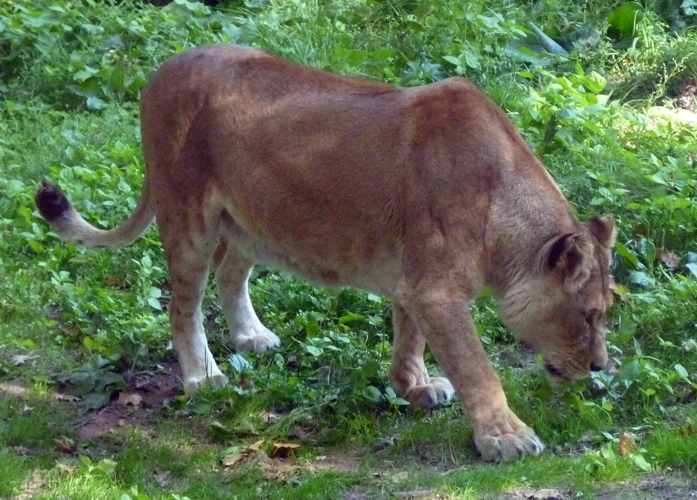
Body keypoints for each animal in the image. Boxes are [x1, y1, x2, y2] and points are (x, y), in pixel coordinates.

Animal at [36, 44, 615, 462]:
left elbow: (409, 335)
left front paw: (415, 387)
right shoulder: (435, 288)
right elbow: (478, 368)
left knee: (230, 271)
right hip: (187, 216)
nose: (600, 368)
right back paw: (203, 376)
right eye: (589, 315)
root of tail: (161, 70)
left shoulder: (415, 281)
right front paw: (506, 437)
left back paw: (252, 337)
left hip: (253, 221)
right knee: (183, 305)